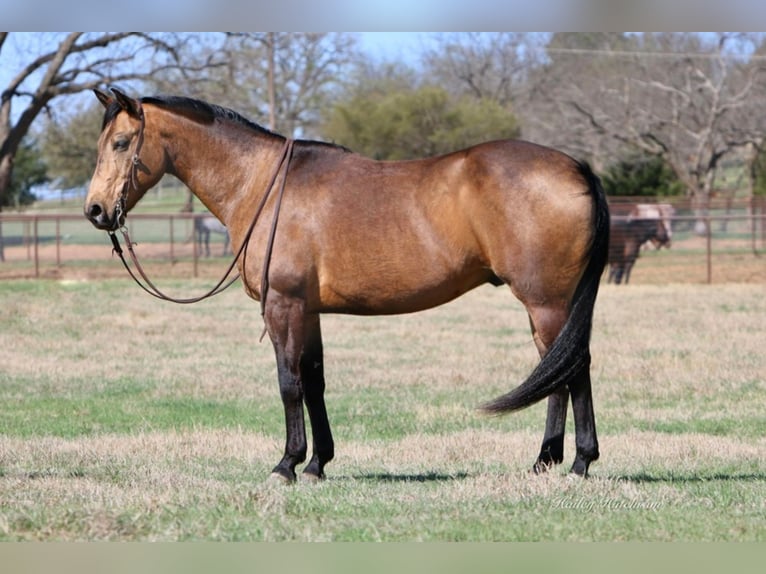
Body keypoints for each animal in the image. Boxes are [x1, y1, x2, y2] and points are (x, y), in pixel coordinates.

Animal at [84, 88, 612, 484]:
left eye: (121, 142)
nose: (95, 210)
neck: (264, 185)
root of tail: (576, 167)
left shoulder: (283, 306)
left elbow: (289, 383)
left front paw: (286, 464)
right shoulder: (308, 310)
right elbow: (314, 380)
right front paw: (317, 463)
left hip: (545, 301)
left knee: (573, 366)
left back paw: (580, 462)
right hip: (547, 305)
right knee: (556, 368)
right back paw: (545, 461)